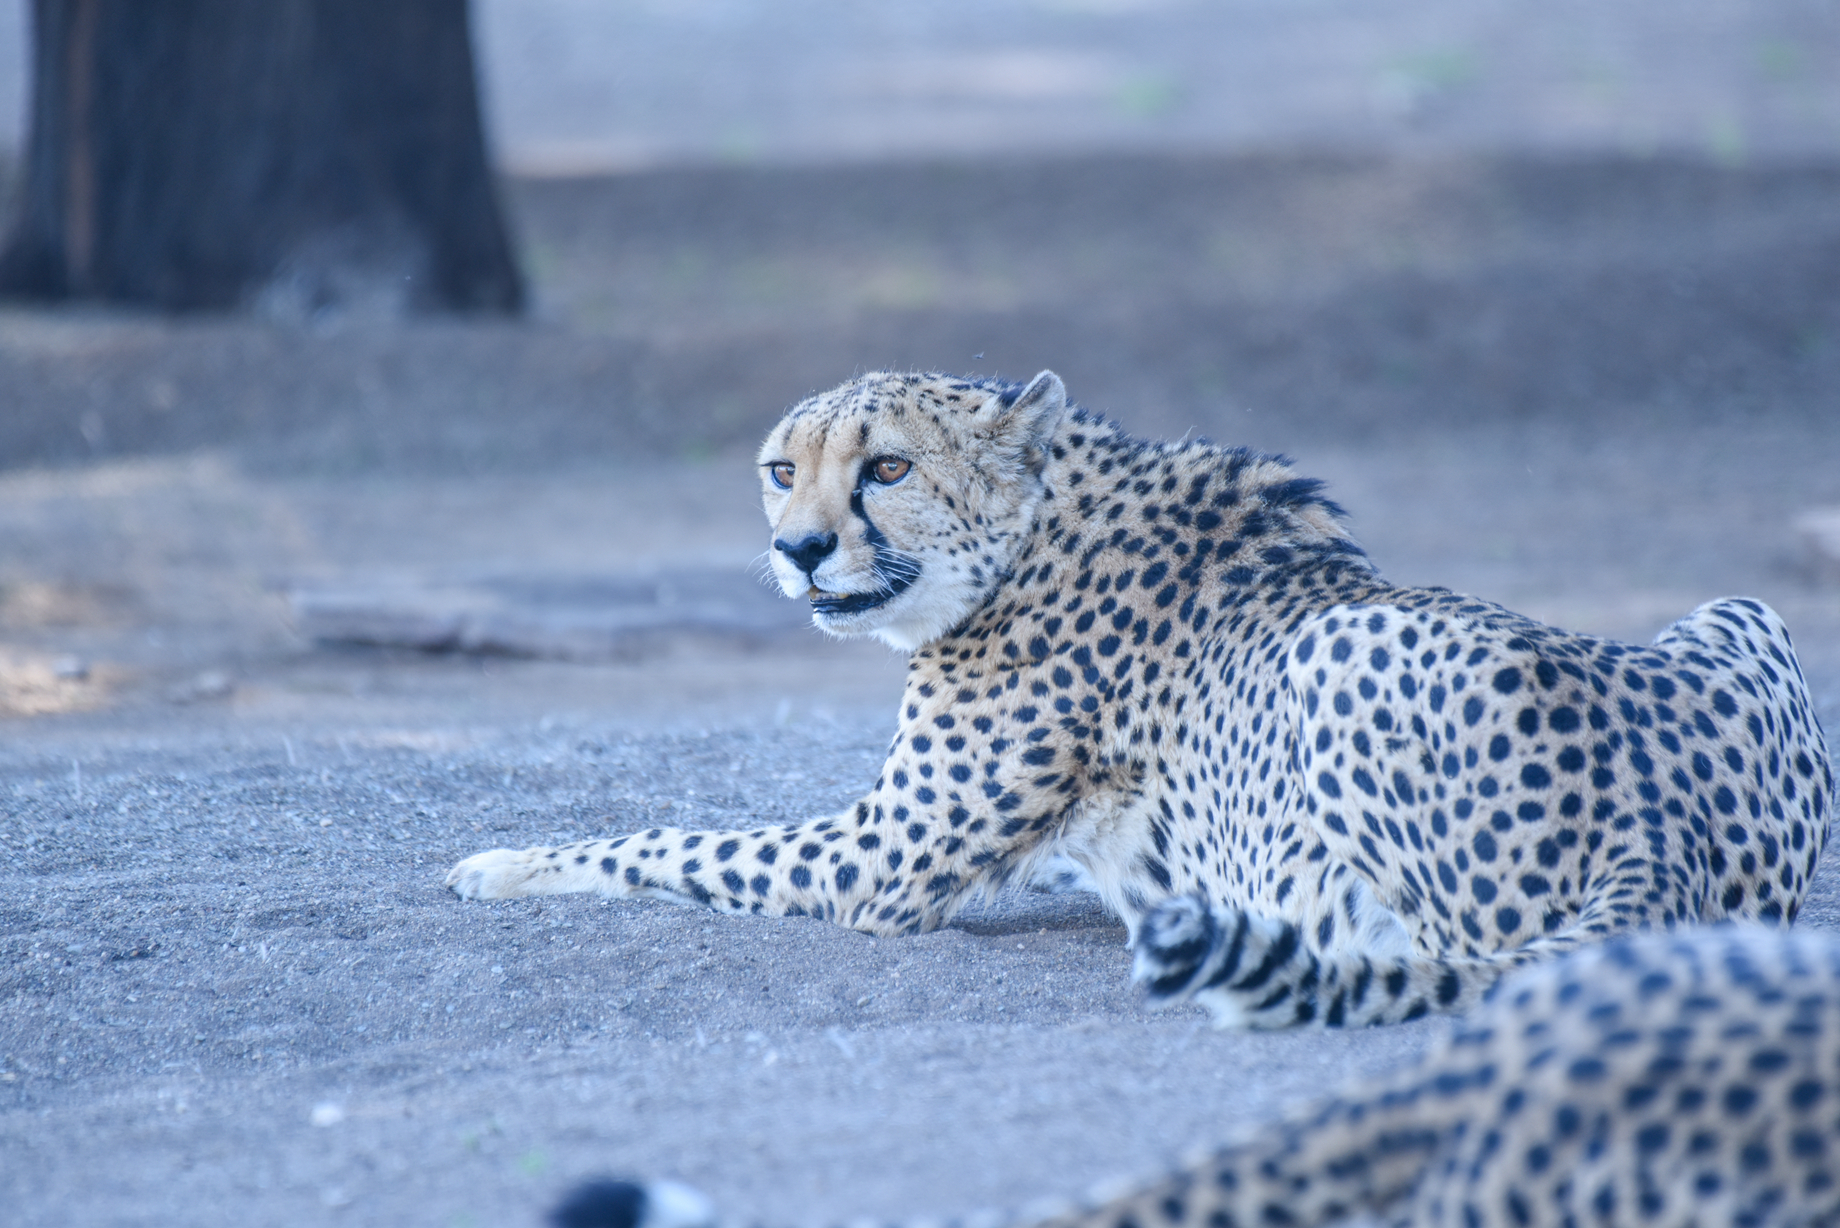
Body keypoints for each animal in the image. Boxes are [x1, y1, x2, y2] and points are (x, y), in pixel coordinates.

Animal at [447, 369, 1835, 1028]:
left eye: (885, 469)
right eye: (783, 472)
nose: (797, 550)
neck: (1031, 529)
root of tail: (1654, 814)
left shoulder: (875, 863)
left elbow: (659, 836)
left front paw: (505, 862)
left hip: (1341, 651)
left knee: (1443, 957)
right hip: (1740, 611)